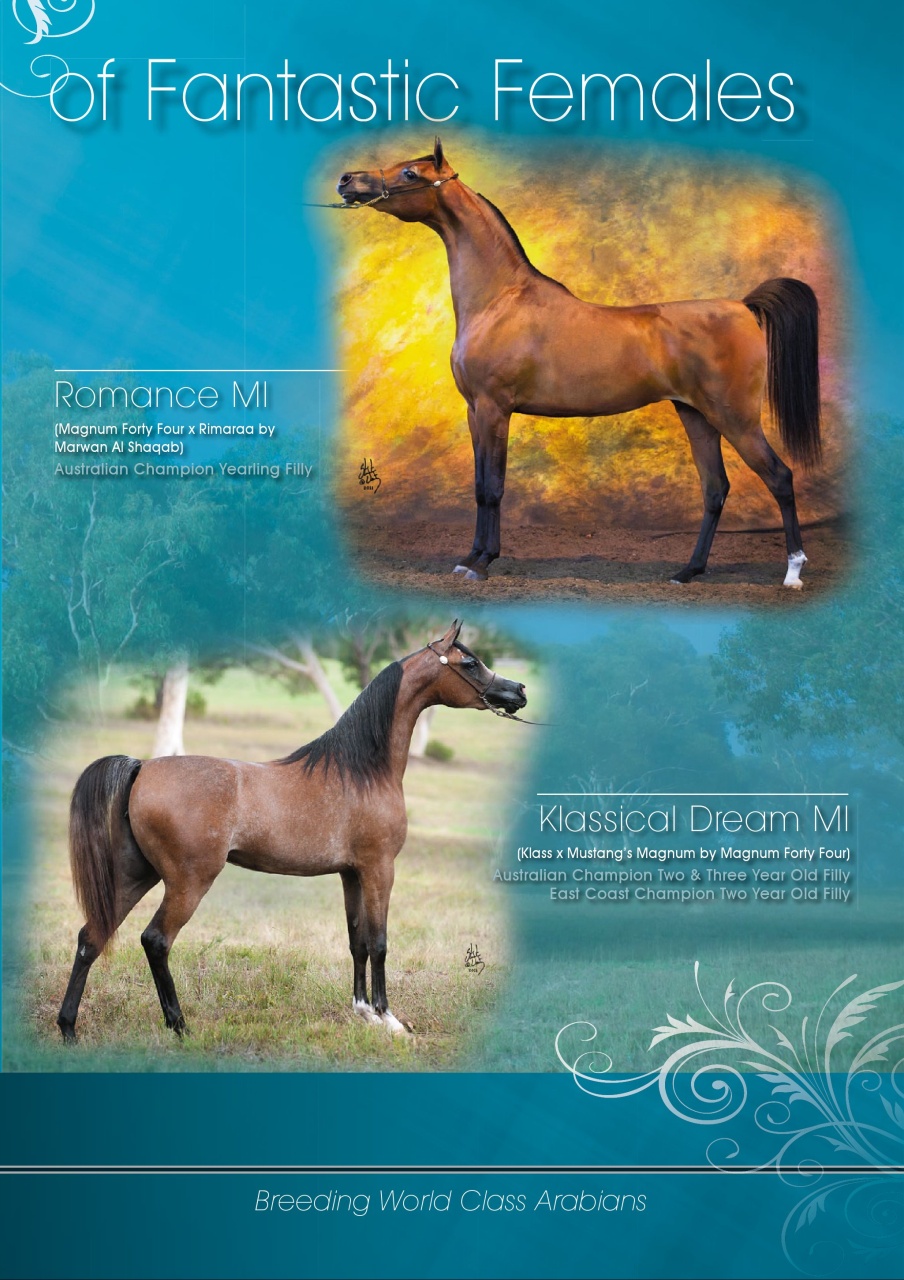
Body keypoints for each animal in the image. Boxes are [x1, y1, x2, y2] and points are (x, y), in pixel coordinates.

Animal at [56, 622, 527, 1042]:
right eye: (470, 662)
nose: (518, 691)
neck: (362, 771)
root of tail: (143, 767)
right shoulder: (380, 869)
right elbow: (379, 942)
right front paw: (390, 1020)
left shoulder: (351, 873)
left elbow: (357, 941)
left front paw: (363, 1013)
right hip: (188, 881)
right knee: (155, 941)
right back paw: (180, 1027)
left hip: (137, 874)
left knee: (90, 938)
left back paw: (68, 1028)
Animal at [335, 138, 822, 589]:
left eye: (411, 173)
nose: (347, 180)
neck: (500, 299)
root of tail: (742, 307)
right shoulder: (474, 411)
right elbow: (478, 486)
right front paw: (469, 557)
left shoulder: (495, 409)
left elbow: (494, 487)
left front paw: (483, 563)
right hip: (696, 415)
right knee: (715, 489)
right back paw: (688, 571)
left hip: (736, 418)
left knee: (780, 478)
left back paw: (793, 572)